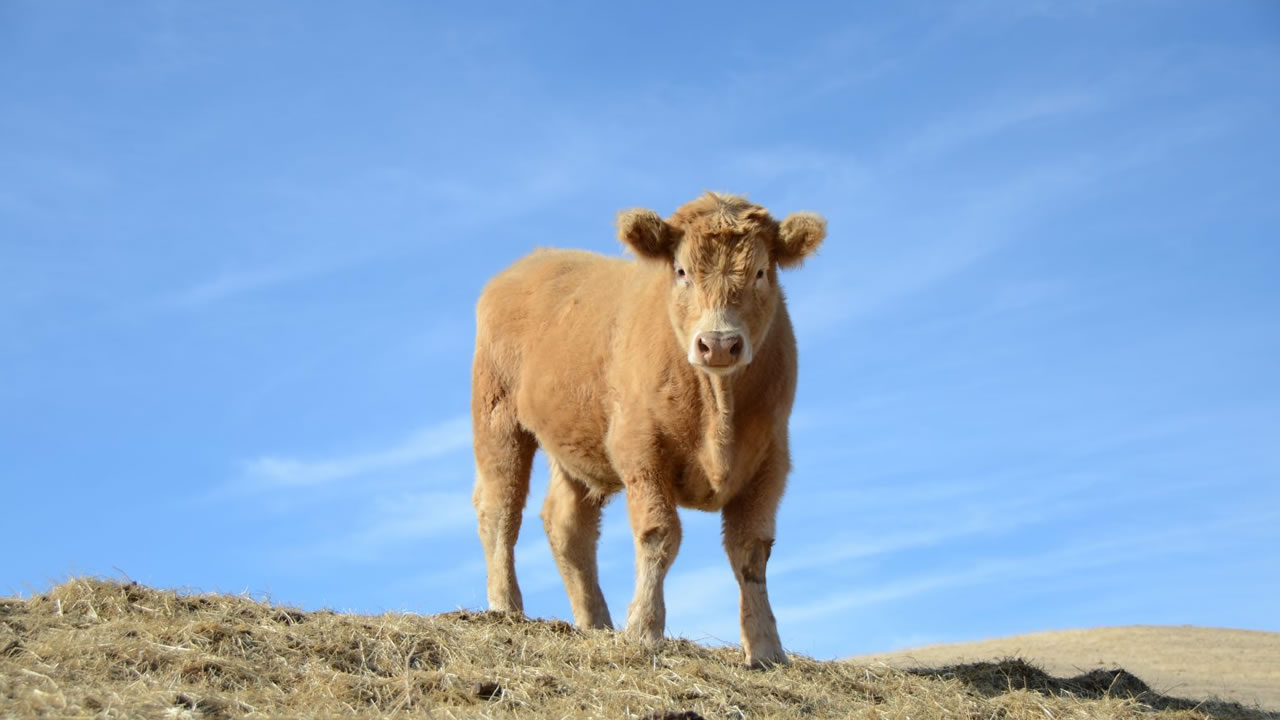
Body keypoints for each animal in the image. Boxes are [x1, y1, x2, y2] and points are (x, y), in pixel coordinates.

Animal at [468, 192, 819, 666]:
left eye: (762, 272)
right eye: (682, 271)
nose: (719, 344)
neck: (718, 408)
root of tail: (531, 261)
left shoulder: (770, 462)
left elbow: (751, 551)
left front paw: (766, 648)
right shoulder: (641, 451)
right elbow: (659, 535)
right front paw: (644, 629)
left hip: (576, 445)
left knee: (567, 525)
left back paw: (597, 622)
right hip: (498, 418)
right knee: (500, 509)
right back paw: (506, 605)